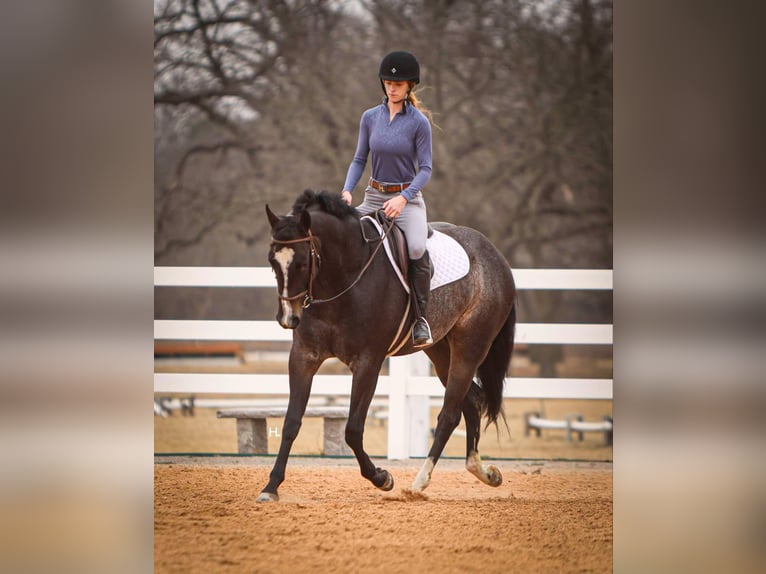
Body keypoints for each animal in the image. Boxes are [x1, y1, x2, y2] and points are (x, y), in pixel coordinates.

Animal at [260, 190, 520, 504]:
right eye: (272, 262)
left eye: (301, 262)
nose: (288, 318)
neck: (343, 276)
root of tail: (495, 256)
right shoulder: (303, 358)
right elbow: (291, 422)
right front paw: (271, 486)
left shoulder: (368, 363)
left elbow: (353, 429)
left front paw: (382, 478)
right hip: (441, 351)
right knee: (471, 401)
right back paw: (483, 472)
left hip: (470, 347)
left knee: (449, 414)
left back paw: (419, 483)